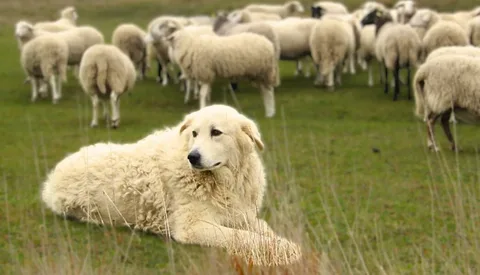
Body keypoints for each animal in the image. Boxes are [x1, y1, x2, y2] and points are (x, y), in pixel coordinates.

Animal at [43, 105, 302, 268]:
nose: (192, 157)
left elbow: (264, 229)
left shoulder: (239, 215)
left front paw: (281, 242)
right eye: (194, 133)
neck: (223, 181)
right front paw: (287, 249)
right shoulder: (193, 227)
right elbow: (245, 238)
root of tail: (51, 178)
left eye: (216, 132)